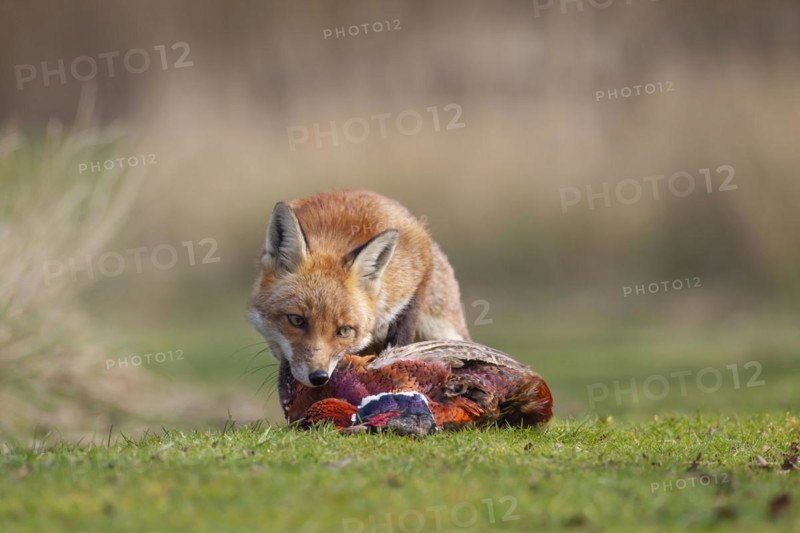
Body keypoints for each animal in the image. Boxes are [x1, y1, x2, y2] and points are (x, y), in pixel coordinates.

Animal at [248, 190, 470, 388]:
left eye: (344, 331)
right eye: (296, 320)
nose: (319, 377)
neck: (332, 236)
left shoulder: (419, 270)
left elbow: (401, 341)